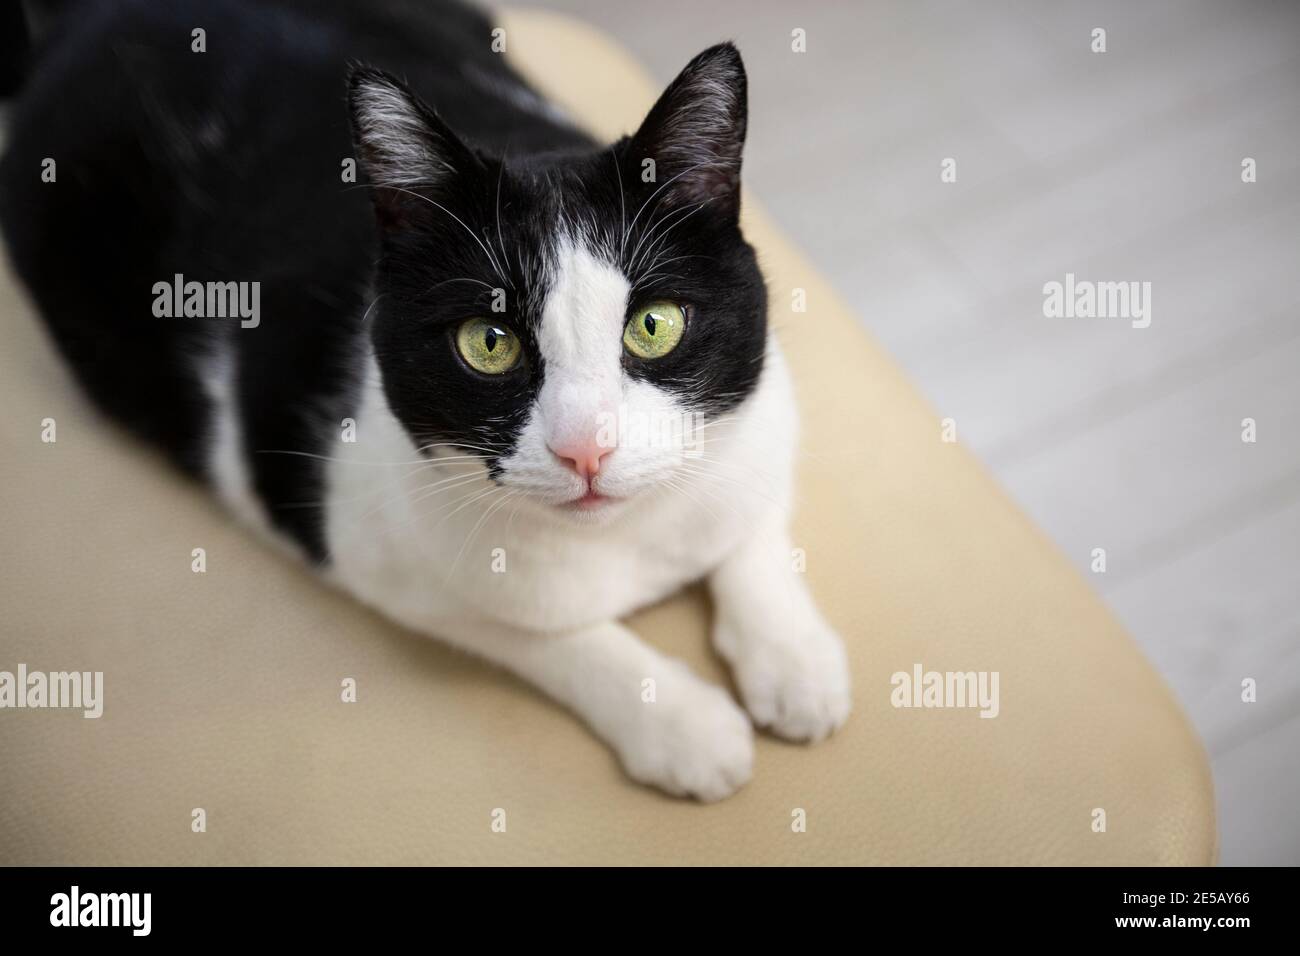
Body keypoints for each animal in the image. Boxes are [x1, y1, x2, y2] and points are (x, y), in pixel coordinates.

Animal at [2, 0, 852, 801]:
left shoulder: (766, 405)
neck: (626, 541)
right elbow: (538, 632)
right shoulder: (371, 547)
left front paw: (794, 659)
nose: (587, 447)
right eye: (488, 342)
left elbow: (751, 520)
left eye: (653, 325)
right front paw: (681, 723)